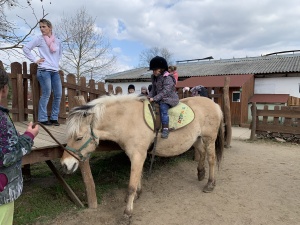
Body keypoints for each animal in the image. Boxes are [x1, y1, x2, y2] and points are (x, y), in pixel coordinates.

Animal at [61, 94, 224, 217]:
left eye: (79, 138)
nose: (65, 165)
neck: (127, 120)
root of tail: (215, 104)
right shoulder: (135, 155)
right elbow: (138, 177)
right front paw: (138, 194)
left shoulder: (138, 155)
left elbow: (131, 185)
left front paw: (127, 213)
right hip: (196, 139)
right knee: (202, 152)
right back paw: (201, 173)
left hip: (209, 139)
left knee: (211, 159)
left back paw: (210, 184)